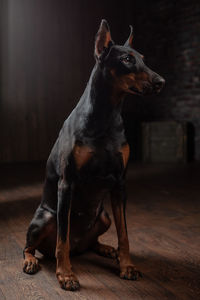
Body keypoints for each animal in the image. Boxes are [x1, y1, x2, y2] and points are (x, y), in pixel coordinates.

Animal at [22, 19, 165, 290]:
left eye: (142, 58)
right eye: (127, 59)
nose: (161, 81)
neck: (106, 115)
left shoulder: (120, 183)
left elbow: (124, 233)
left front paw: (127, 265)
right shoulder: (67, 183)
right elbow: (62, 239)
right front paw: (66, 274)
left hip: (104, 215)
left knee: (91, 241)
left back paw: (107, 249)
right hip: (45, 217)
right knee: (33, 246)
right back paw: (31, 261)